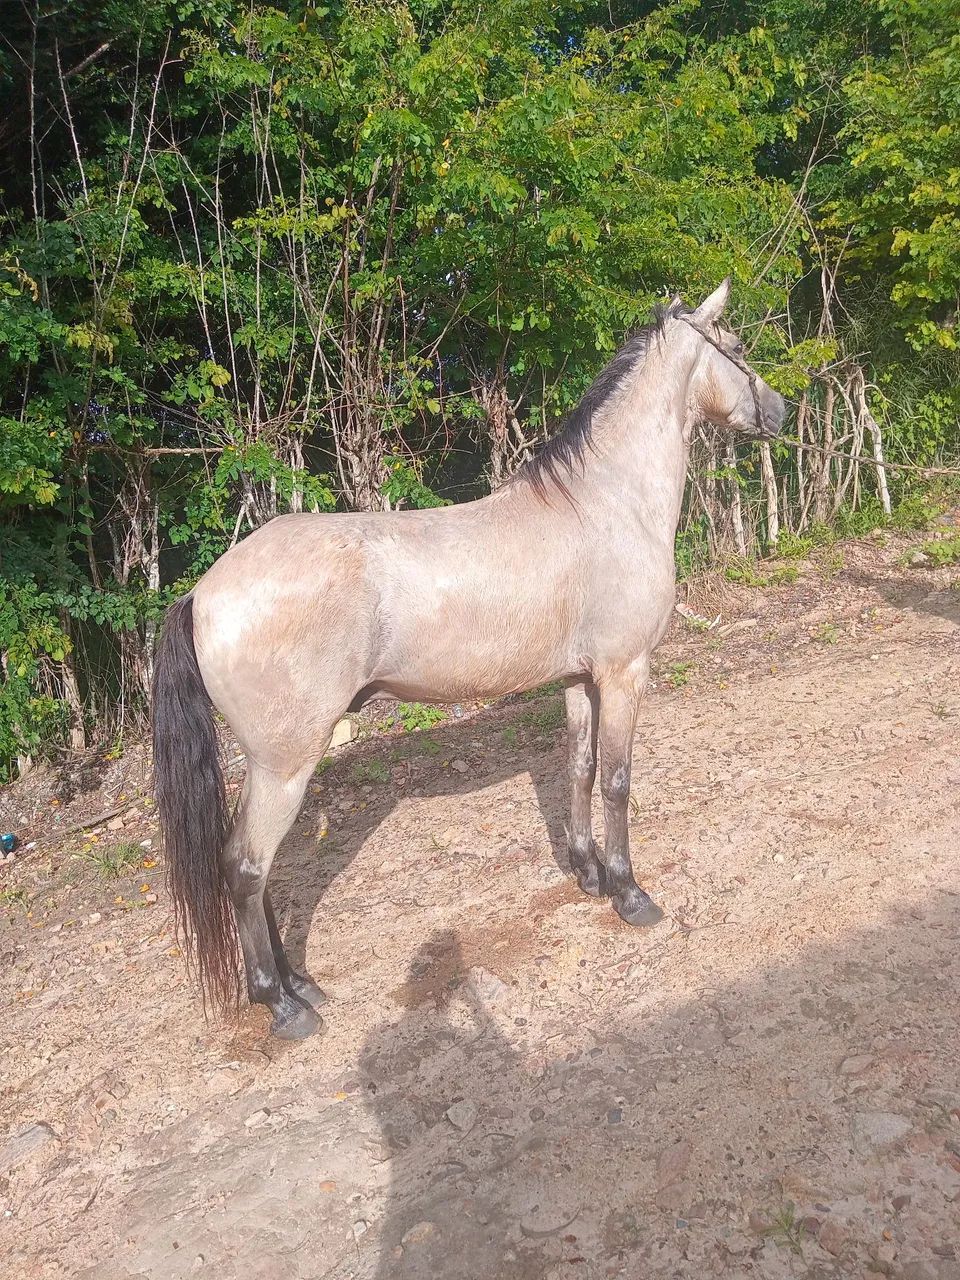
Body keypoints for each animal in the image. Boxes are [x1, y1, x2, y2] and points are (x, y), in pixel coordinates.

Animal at [152, 279, 786, 1039]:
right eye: (738, 347)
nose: (781, 410)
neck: (604, 502)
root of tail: (201, 594)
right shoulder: (624, 672)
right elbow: (616, 781)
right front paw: (630, 893)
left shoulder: (580, 679)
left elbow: (578, 768)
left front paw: (588, 874)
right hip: (286, 763)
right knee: (247, 867)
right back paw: (280, 1002)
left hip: (271, 764)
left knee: (256, 868)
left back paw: (302, 983)